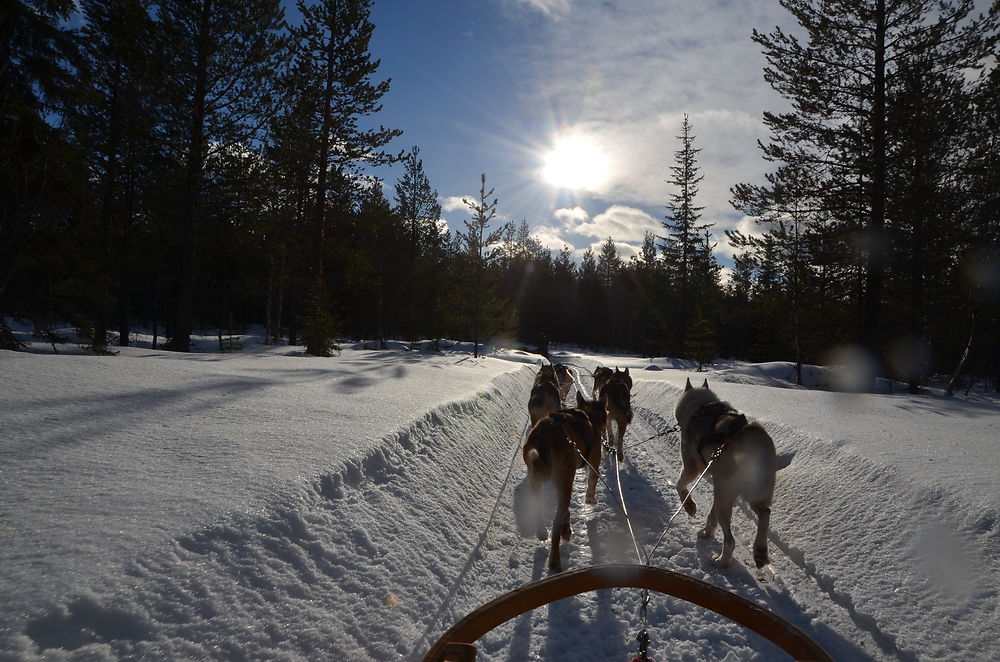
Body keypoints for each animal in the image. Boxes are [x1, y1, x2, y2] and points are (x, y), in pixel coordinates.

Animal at [524, 392, 608, 572]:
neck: (588, 416)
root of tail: (543, 436)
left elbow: (566, 511)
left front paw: (567, 526)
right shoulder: (593, 462)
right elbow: (592, 480)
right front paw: (590, 499)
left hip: (538, 480)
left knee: (539, 507)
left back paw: (544, 531)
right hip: (565, 480)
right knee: (555, 524)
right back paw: (555, 560)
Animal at [676, 378, 776, 572]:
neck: (702, 406)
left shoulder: (692, 469)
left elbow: (680, 486)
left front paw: (690, 506)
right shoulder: (718, 485)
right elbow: (711, 516)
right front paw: (707, 532)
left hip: (725, 497)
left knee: (730, 541)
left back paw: (721, 562)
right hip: (745, 494)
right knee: (765, 512)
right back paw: (760, 551)